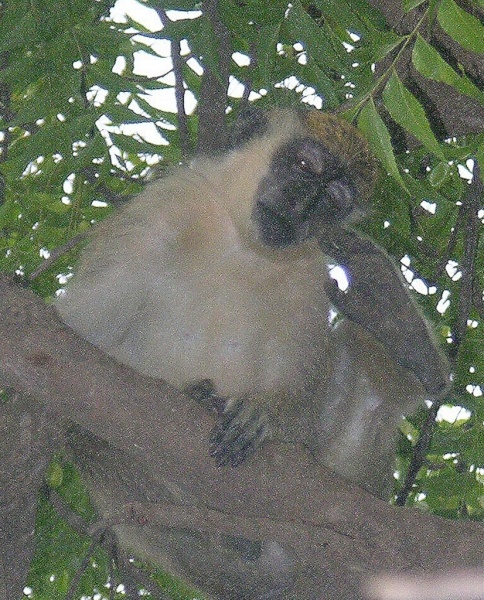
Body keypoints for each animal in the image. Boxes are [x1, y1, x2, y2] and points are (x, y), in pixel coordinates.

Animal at [56, 109, 450, 600]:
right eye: (305, 166)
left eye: (332, 200)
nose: (303, 205)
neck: (244, 243)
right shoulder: (160, 212)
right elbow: (76, 344)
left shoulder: (309, 273)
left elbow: (298, 403)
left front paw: (265, 415)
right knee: (91, 436)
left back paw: (398, 327)